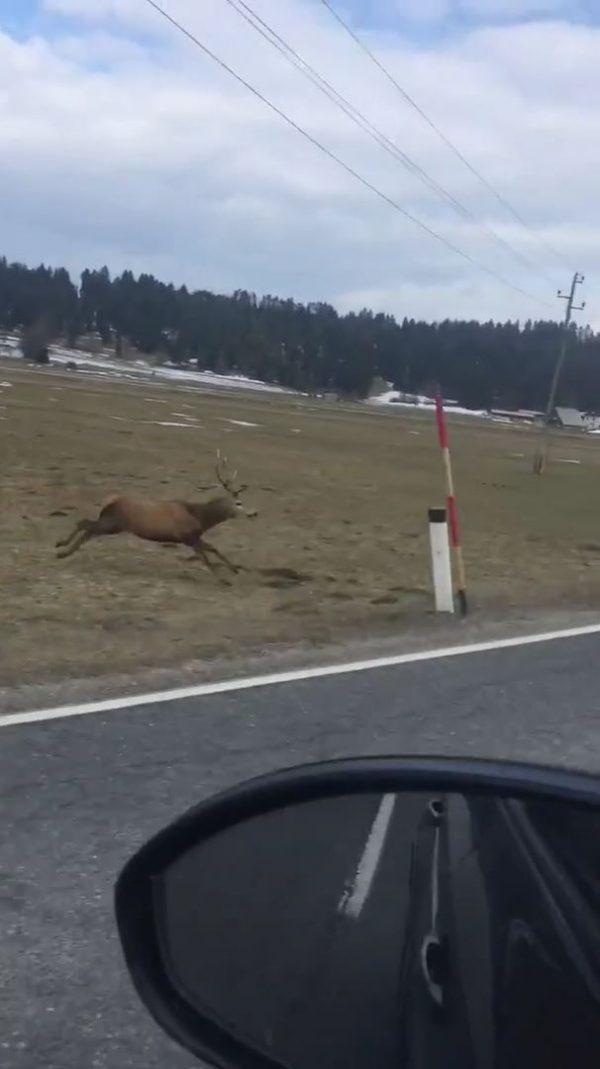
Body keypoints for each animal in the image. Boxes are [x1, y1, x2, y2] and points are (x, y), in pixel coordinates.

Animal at [55, 452, 257, 583]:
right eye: (239, 503)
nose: (254, 513)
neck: (201, 518)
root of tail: (109, 502)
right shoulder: (188, 537)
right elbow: (206, 559)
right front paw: (223, 580)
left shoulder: (194, 536)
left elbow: (214, 549)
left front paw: (235, 570)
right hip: (113, 523)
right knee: (85, 525)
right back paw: (62, 550)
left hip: (109, 523)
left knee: (85, 526)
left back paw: (62, 547)